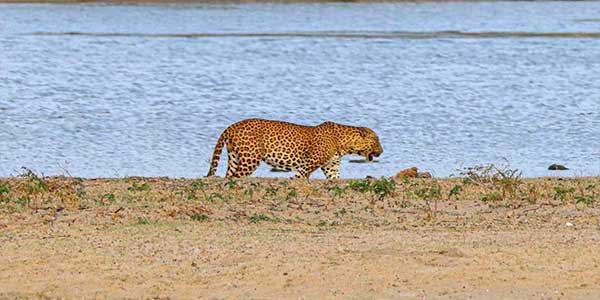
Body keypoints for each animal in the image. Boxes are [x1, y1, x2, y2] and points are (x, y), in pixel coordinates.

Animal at [206, 118, 382, 178]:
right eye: (376, 140)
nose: (382, 151)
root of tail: (232, 126)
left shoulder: (331, 167)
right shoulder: (306, 166)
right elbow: (299, 178)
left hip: (234, 158)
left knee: (229, 176)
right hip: (250, 160)